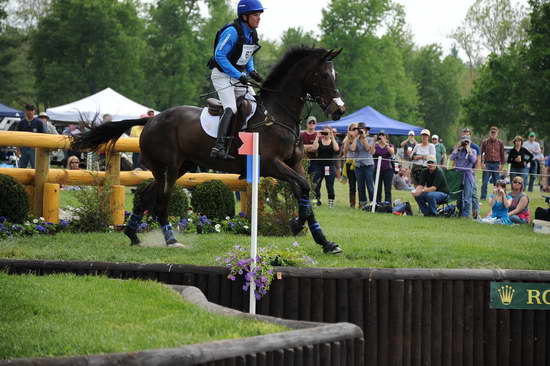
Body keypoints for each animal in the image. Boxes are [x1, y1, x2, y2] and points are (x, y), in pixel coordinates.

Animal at [71, 47, 348, 253]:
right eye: (324, 76)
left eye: (335, 76)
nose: (339, 110)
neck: (278, 114)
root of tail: (151, 120)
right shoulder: (271, 164)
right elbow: (303, 187)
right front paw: (296, 224)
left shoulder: (294, 164)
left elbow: (304, 191)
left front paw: (325, 242)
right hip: (168, 169)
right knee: (161, 201)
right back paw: (171, 240)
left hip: (181, 167)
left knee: (146, 196)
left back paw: (133, 234)